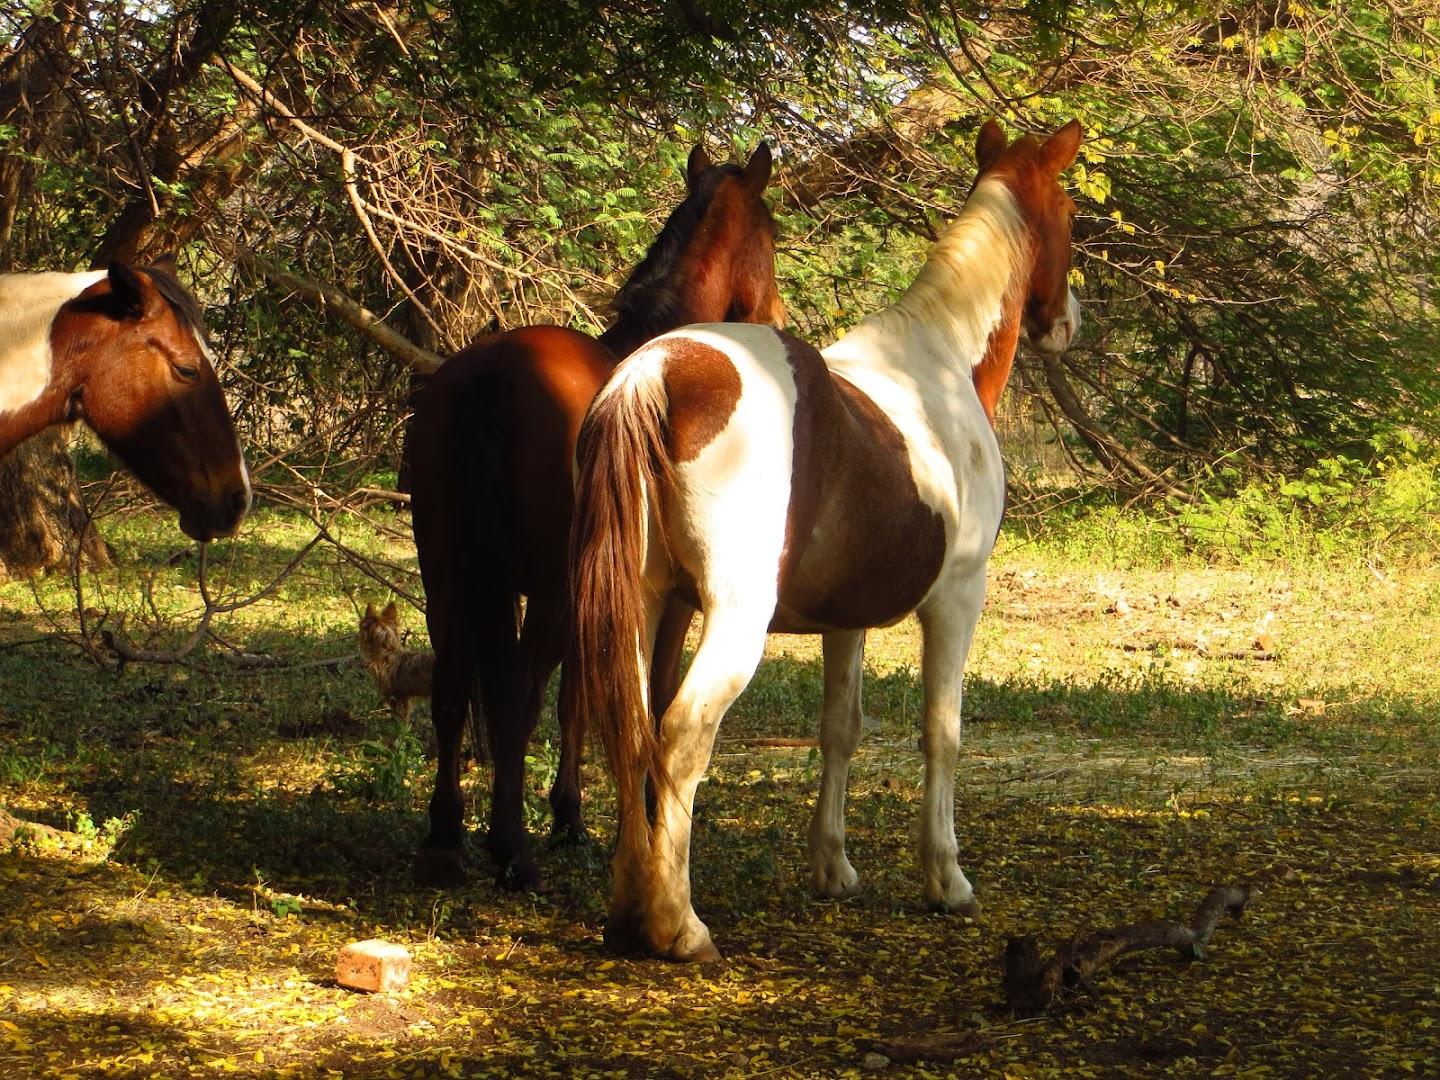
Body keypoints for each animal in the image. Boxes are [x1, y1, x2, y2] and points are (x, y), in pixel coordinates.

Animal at [407, 143, 785, 890]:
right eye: (772, 237)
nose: (779, 316)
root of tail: (494, 371)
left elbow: (577, 697)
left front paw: (570, 813)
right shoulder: (667, 600)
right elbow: (654, 695)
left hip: (449, 579)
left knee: (454, 686)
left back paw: (445, 838)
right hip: (549, 591)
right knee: (516, 691)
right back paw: (510, 848)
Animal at [567, 119, 1084, 961]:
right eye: (1070, 213)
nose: (1069, 319)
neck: (940, 365)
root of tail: (656, 370)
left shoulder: (847, 619)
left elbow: (840, 729)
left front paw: (832, 869)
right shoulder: (957, 599)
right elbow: (942, 733)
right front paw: (946, 880)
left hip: (639, 607)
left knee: (631, 732)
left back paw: (627, 912)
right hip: (730, 620)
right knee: (679, 736)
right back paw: (680, 926)